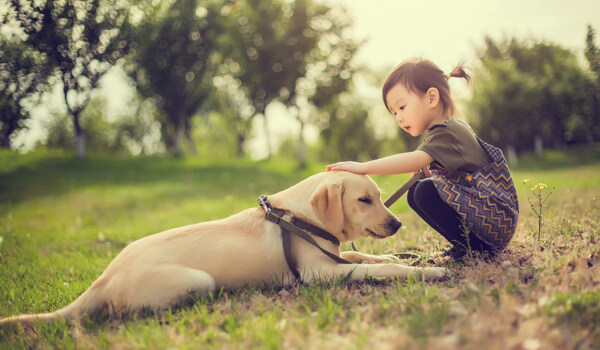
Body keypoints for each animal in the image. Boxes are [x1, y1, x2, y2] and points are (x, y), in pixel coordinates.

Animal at [0, 171, 450, 326]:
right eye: (363, 200)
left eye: (380, 197)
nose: (397, 224)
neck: (300, 215)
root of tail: (103, 279)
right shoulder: (321, 274)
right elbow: (379, 269)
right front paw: (429, 271)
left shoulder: (332, 255)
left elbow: (365, 256)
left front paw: (394, 254)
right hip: (199, 281)